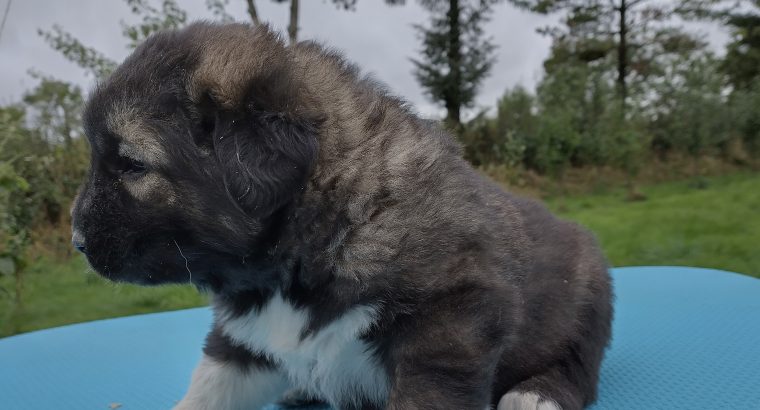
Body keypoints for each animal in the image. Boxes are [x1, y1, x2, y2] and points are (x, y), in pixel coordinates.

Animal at [72, 22, 612, 410]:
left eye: (132, 165)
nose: (77, 241)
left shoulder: (448, 328)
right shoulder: (241, 343)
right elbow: (205, 392)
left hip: (586, 296)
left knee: (578, 365)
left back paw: (535, 396)